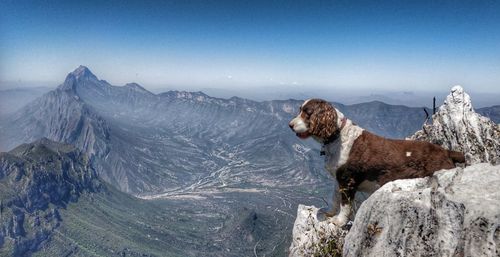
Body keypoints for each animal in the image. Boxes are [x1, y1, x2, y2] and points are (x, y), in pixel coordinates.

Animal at [290, 99, 464, 225]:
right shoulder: (338, 178)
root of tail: (446, 151)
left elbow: (345, 205)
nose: (290, 125)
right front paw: (330, 212)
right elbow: (335, 198)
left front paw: (339, 221)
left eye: (307, 112)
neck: (337, 135)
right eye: (299, 110)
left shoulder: (348, 180)